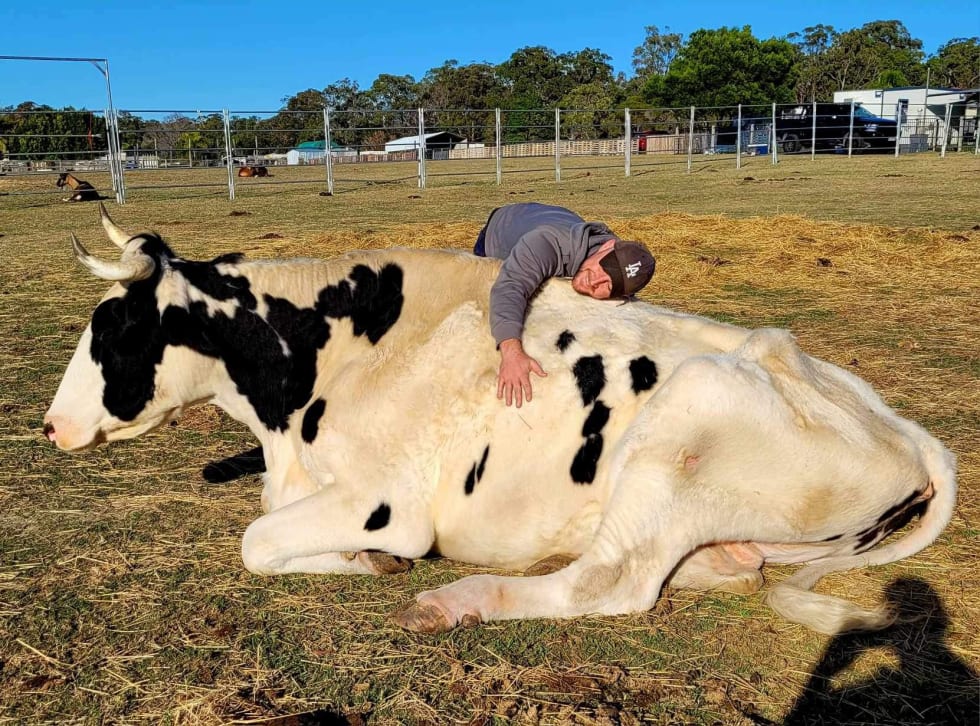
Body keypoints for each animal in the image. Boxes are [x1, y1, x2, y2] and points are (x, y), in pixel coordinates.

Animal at [46, 206, 956, 636]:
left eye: (115, 330)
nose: (50, 426)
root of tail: (908, 432)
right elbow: (266, 530)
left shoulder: (388, 501)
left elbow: (258, 541)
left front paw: (368, 561)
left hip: (693, 404)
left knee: (610, 585)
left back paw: (456, 601)